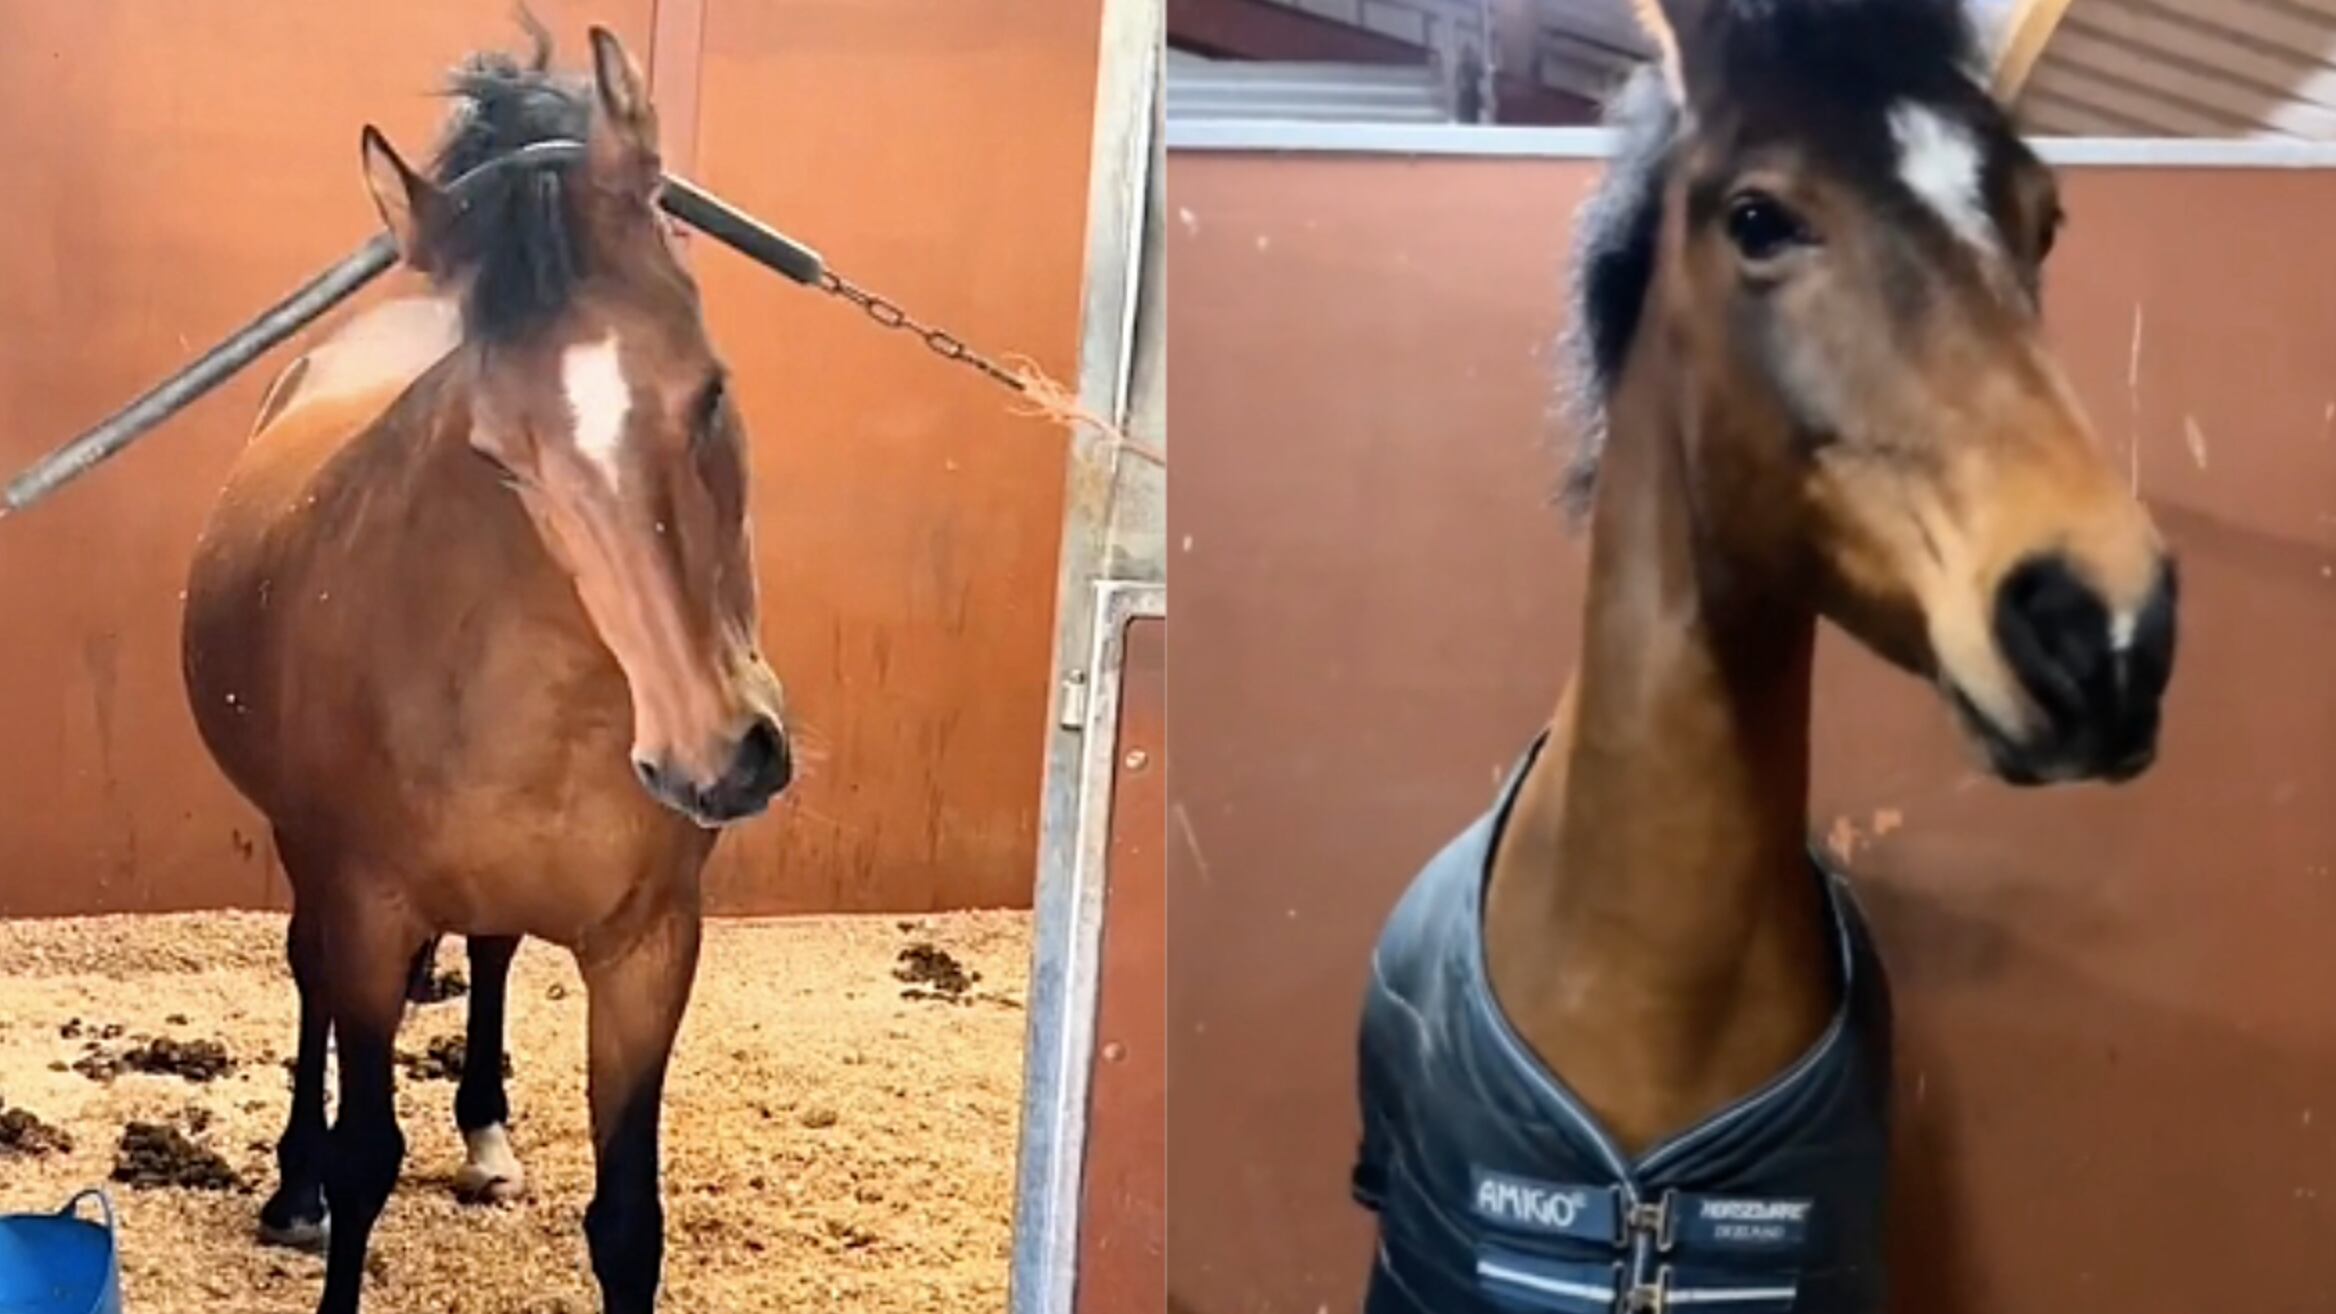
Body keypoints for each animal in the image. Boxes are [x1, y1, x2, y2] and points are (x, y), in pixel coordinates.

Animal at [180, 24, 789, 1314]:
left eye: (711, 389)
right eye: (501, 456)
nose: (718, 757)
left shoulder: (650, 949)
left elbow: (627, 1224)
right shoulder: (367, 913)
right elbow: (365, 1153)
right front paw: (321, 1193)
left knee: (496, 948)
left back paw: (485, 1133)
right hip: (308, 856)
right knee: (307, 979)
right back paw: (292, 1187)